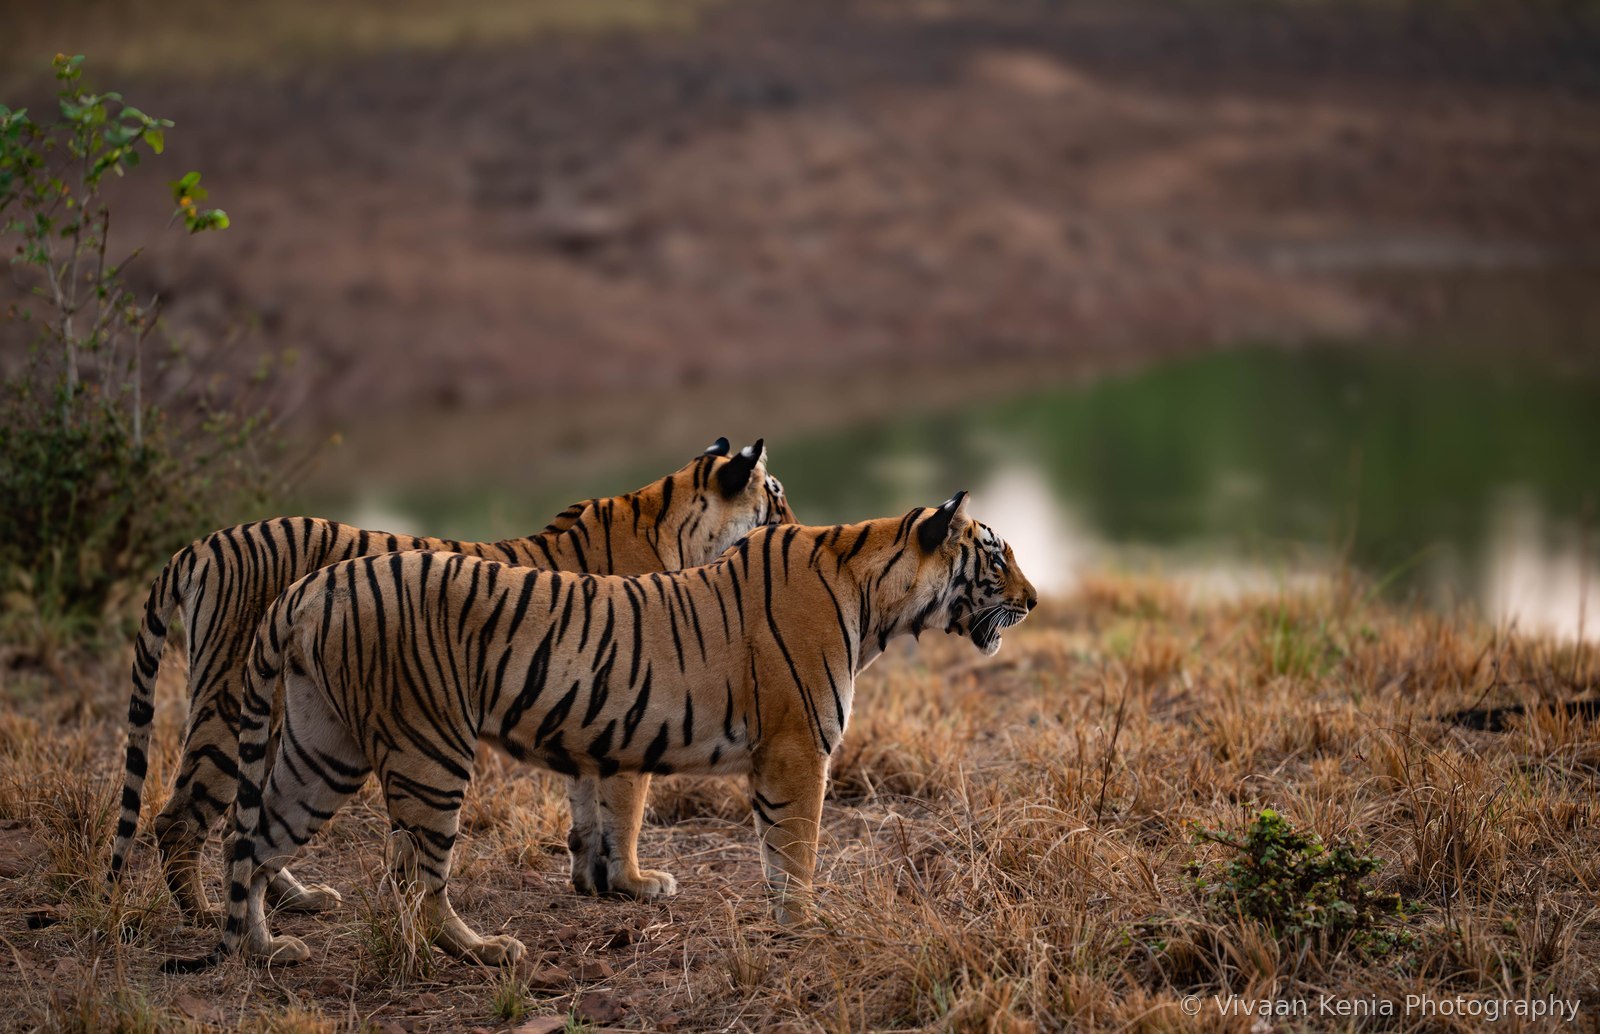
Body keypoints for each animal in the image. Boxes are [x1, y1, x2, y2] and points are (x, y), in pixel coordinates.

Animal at [112, 437, 793, 926]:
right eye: (777, 498)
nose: (793, 527)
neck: (673, 524)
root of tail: (204, 543)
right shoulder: (627, 698)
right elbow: (623, 808)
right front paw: (635, 883)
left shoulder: (591, 707)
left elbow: (587, 806)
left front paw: (591, 880)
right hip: (232, 706)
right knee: (181, 820)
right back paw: (203, 914)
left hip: (284, 716)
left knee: (247, 819)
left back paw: (297, 900)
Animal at [166, 490, 1036, 971]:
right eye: (996, 556)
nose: (1032, 601)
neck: (876, 597)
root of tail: (309, 588)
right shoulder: (796, 749)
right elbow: (794, 847)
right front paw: (804, 924)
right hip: (428, 753)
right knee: (415, 883)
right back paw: (482, 952)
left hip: (323, 748)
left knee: (251, 839)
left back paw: (265, 949)